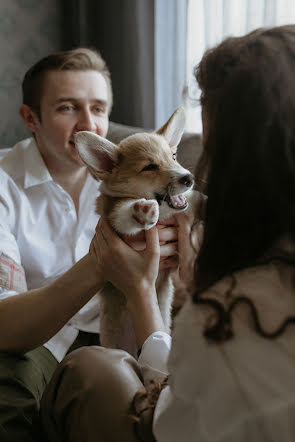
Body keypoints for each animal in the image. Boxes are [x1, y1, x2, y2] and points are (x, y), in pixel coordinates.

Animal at [75, 108, 195, 360]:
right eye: (150, 167)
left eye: (174, 156)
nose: (188, 177)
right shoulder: (114, 215)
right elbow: (124, 213)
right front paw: (141, 210)